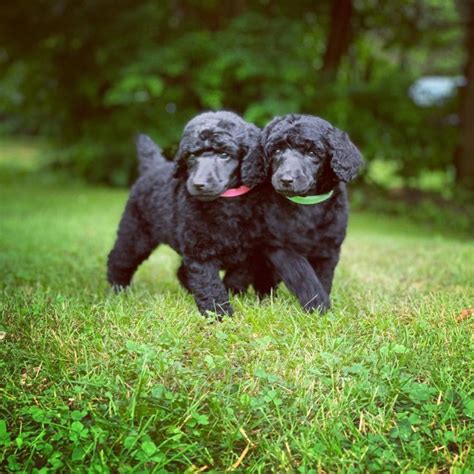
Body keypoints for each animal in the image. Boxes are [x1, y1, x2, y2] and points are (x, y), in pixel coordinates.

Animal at [105, 111, 272, 316]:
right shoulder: (200, 252)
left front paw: (232, 294)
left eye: (224, 155)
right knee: (120, 260)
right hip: (135, 232)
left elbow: (239, 275)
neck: (226, 202)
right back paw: (118, 291)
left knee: (181, 271)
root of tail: (153, 168)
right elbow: (210, 285)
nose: (199, 184)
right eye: (192, 155)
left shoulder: (250, 249)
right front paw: (219, 315)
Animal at [260, 113, 362, 312]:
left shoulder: (329, 248)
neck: (307, 204)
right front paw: (318, 305)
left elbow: (324, 277)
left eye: (312, 154)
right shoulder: (279, 245)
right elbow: (302, 273)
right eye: (277, 150)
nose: (286, 179)